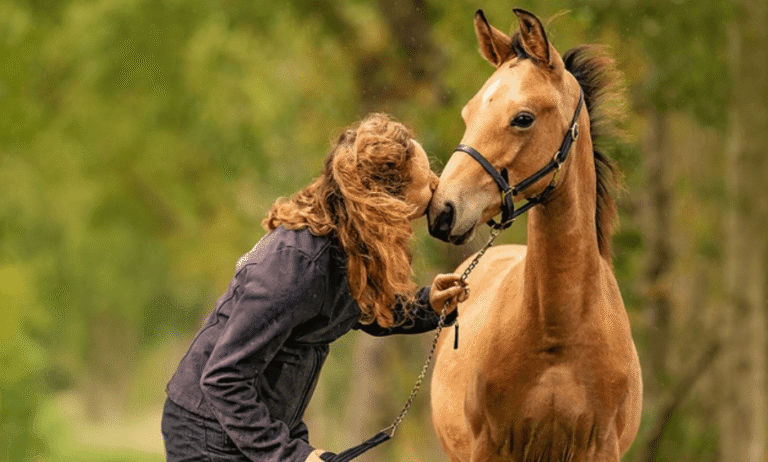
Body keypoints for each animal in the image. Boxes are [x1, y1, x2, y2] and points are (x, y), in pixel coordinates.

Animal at [427, 8, 642, 462]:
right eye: (468, 114)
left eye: (522, 118)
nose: (443, 210)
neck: (559, 335)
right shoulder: (491, 448)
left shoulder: (601, 449)